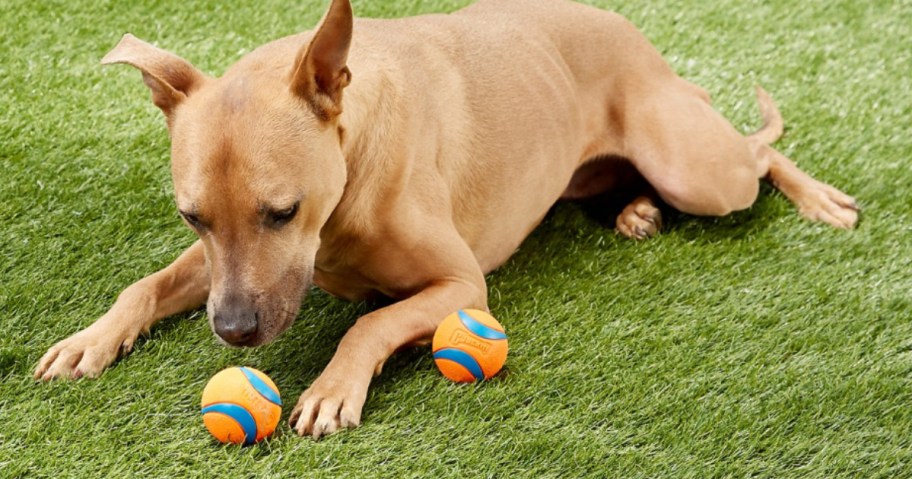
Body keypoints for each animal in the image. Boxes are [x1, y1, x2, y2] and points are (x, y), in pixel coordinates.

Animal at [32, 0, 860, 438]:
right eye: (191, 215)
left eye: (283, 211)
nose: (233, 331)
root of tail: (643, 42)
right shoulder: (212, 268)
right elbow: (143, 283)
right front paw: (89, 340)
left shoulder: (461, 286)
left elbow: (370, 322)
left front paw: (334, 386)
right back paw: (635, 206)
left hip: (699, 168)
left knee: (758, 152)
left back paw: (818, 196)